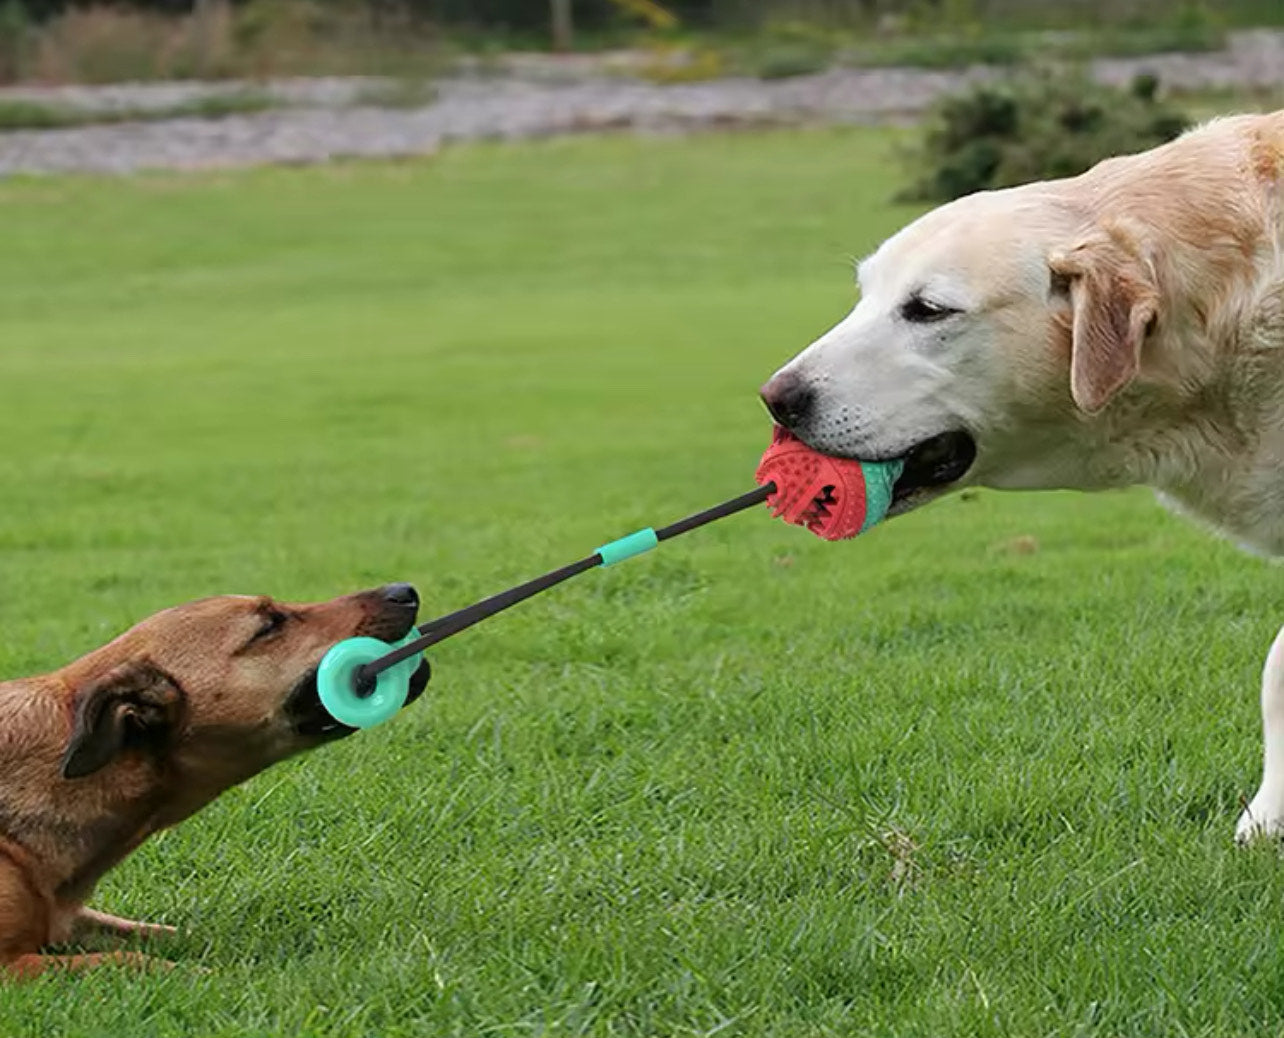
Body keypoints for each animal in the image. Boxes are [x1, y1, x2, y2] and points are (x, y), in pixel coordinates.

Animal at [0, 583, 431, 981]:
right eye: (269, 624)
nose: (404, 591)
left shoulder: (74, 919)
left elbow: (164, 932)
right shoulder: (13, 965)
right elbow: (131, 959)